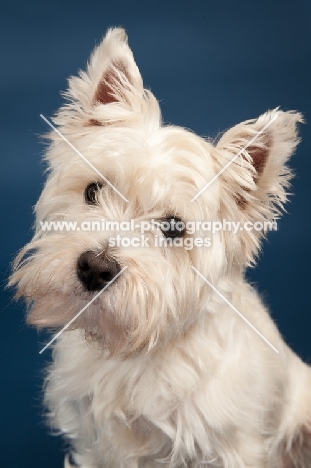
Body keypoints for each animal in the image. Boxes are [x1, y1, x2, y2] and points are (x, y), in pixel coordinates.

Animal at [10, 27, 311, 466]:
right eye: (93, 190)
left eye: (173, 227)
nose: (95, 268)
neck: (137, 348)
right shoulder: (96, 444)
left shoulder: (232, 447)